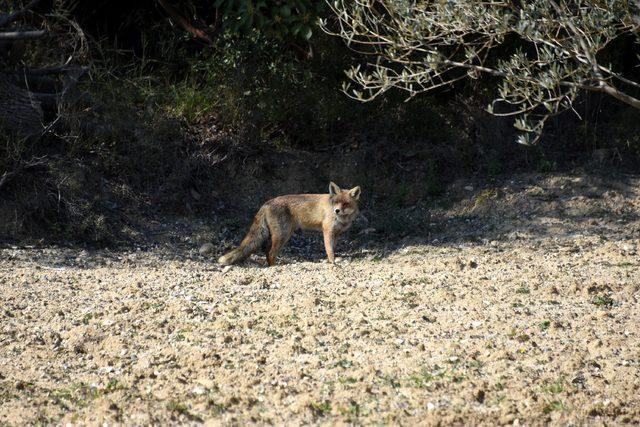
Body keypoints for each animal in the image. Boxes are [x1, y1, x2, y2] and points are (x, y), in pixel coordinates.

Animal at [219, 182, 360, 266]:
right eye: (336, 202)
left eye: (345, 204)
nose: (336, 210)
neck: (342, 219)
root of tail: (267, 203)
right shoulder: (327, 231)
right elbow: (329, 250)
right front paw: (332, 262)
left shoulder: (336, 234)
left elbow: (332, 248)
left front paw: (332, 260)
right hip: (283, 235)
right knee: (271, 252)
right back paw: (274, 267)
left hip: (281, 235)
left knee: (266, 250)